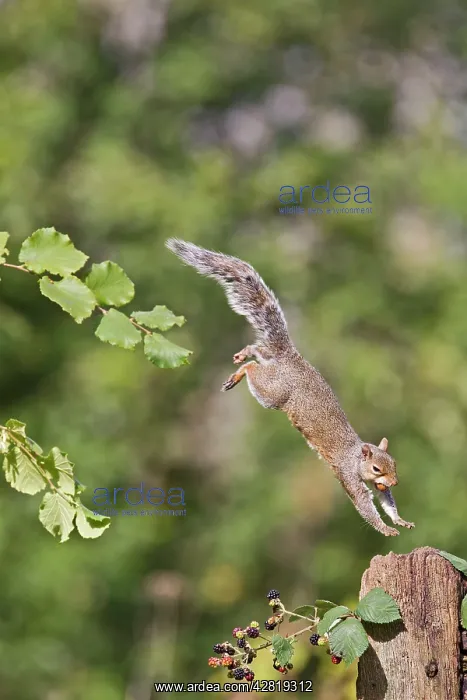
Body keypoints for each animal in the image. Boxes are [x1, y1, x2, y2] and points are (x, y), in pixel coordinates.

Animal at [166, 238, 414, 537]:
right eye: (377, 468)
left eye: (394, 464)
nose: (395, 481)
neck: (356, 458)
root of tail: (290, 358)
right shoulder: (348, 475)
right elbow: (364, 504)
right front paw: (386, 529)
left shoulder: (377, 488)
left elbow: (386, 501)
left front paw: (400, 519)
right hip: (273, 393)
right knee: (254, 368)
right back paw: (240, 372)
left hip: (271, 370)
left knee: (259, 351)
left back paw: (244, 354)